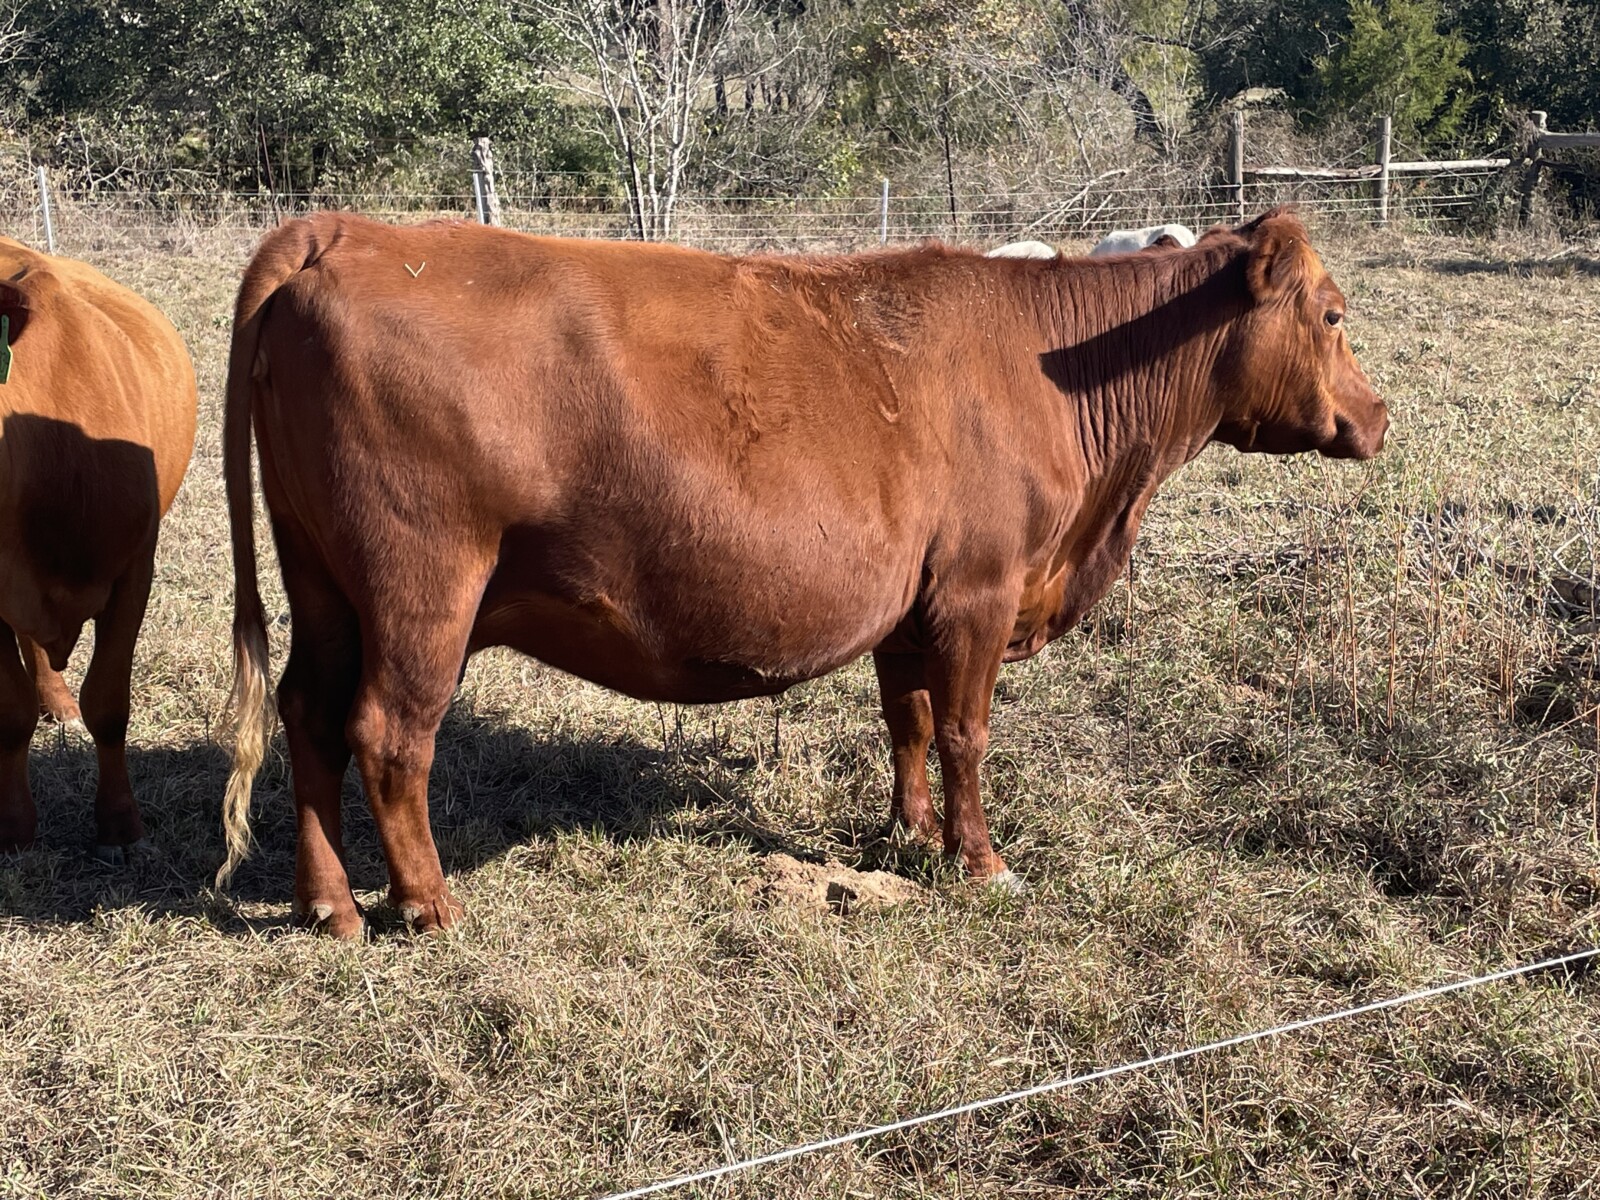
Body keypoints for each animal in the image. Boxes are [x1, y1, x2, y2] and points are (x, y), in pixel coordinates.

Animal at [219, 207, 1387, 936]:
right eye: (1333, 315)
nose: (1379, 417)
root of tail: (344, 232)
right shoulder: (979, 592)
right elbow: (964, 733)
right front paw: (980, 862)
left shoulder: (913, 606)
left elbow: (908, 723)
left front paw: (907, 836)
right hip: (423, 590)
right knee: (388, 735)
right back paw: (427, 905)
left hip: (326, 585)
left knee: (308, 714)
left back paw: (328, 904)